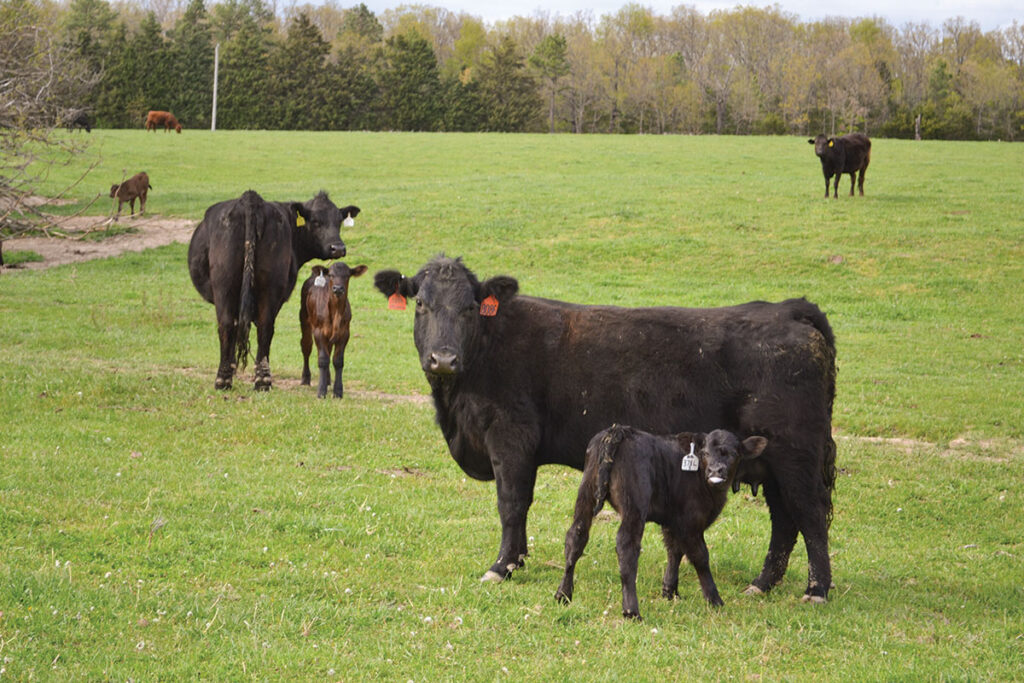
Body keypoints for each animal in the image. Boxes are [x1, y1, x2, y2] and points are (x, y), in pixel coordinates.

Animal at [188, 189, 360, 393]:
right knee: (259, 327)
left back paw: (233, 379)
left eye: (339, 221)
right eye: (316, 221)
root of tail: (251, 200)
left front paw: (233, 368)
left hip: (228, 286)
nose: (338, 248)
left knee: (233, 325)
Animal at [299, 262, 368, 401]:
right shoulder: (319, 331)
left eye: (347, 275)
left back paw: (327, 379)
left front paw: (338, 392)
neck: (336, 313)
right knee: (306, 346)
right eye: (331, 275)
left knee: (328, 349)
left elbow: (338, 360)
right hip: (304, 318)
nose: (338, 289)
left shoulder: (345, 333)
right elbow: (323, 359)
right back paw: (305, 378)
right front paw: (321, 391)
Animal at [372, 255, 835, 602]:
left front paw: (500, 566)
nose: (443, 358)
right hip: (770, 460)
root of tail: (787, 308)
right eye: (420, 304)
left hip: (795, 454)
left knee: (809, 514)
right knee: (784, 520)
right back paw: (762, 585)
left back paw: (816, 590)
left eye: (470, 307)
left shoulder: (510, 437)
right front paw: (517, 559)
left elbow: (511, 503)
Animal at [557, 423, 765, 622]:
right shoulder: (690, 522)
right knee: (627, 547)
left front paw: (670, 592)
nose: (715, 470)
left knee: (576, 536)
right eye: (705, 453)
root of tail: (618, 431)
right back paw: (632, 611)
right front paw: (714, 599)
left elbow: (674, 551)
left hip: (586, 492)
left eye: (733, 453)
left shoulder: (673, 521)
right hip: (634, 504)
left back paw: (563, 595)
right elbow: (700, 556)